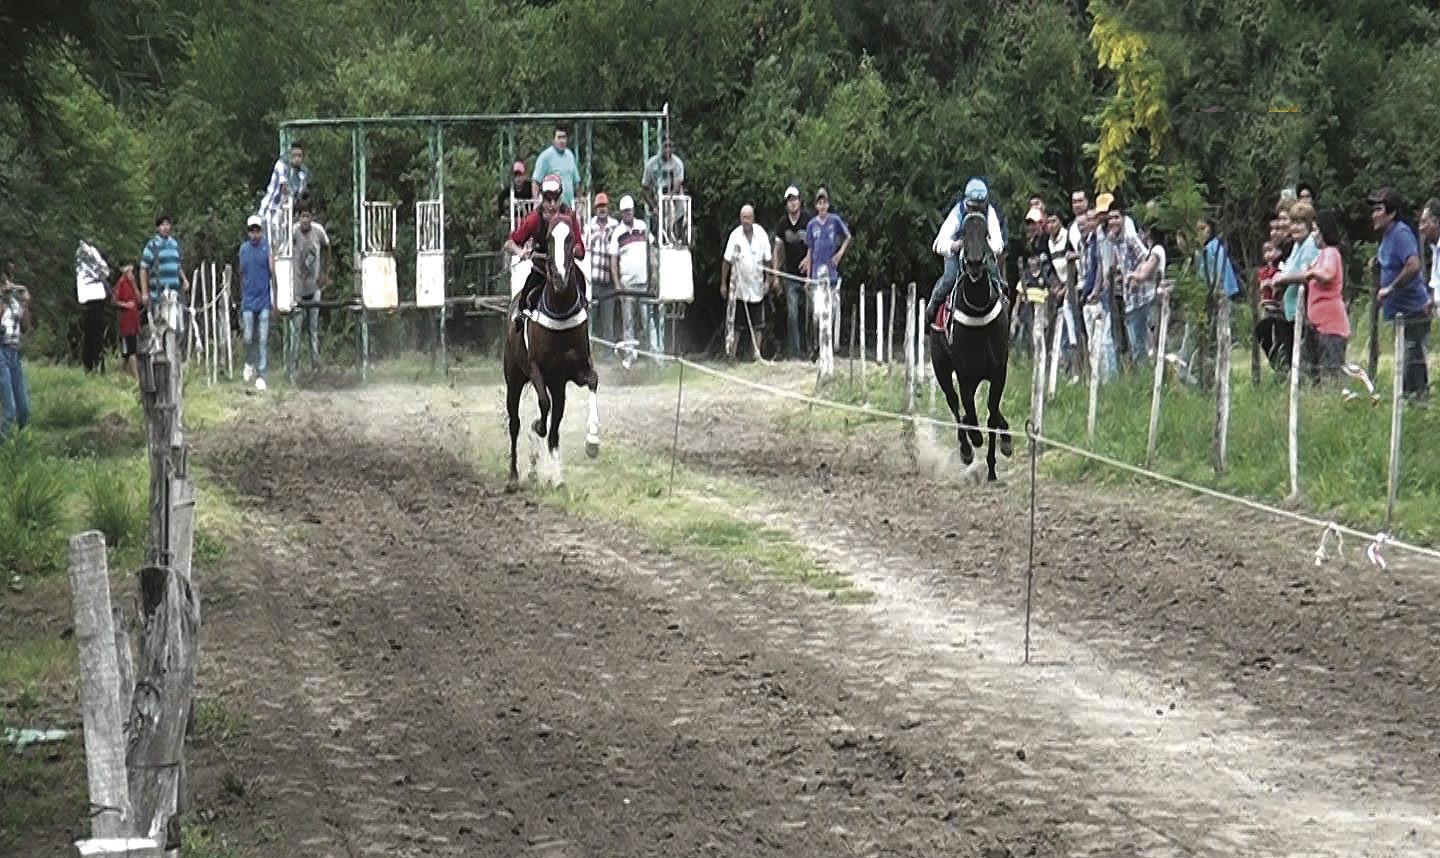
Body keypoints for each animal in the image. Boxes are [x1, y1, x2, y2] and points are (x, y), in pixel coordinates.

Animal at [504, 217, 599, 492]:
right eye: (548, 239)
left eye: (571, 239)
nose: (558, 277)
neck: (560, 308)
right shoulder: (537, 369)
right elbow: (543, 405)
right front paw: (537, 425)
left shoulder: (575, 370)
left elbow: (593, 381)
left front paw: (592, 441)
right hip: (514, 377)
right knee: (515, 423)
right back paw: (514, 476)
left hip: (558, 386)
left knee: (555, 429)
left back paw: (556, 477)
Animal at [927, 208, 1019, 483]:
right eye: (964, 234)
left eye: (987, 233)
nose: (976, 263)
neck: (978, 310)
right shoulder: (965, 375)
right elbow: (971, 414)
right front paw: (974, 445)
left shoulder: (998, 371)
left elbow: (992, 413)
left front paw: (995, 462)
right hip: (942, 368)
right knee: (954, 403)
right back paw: (966, 449)